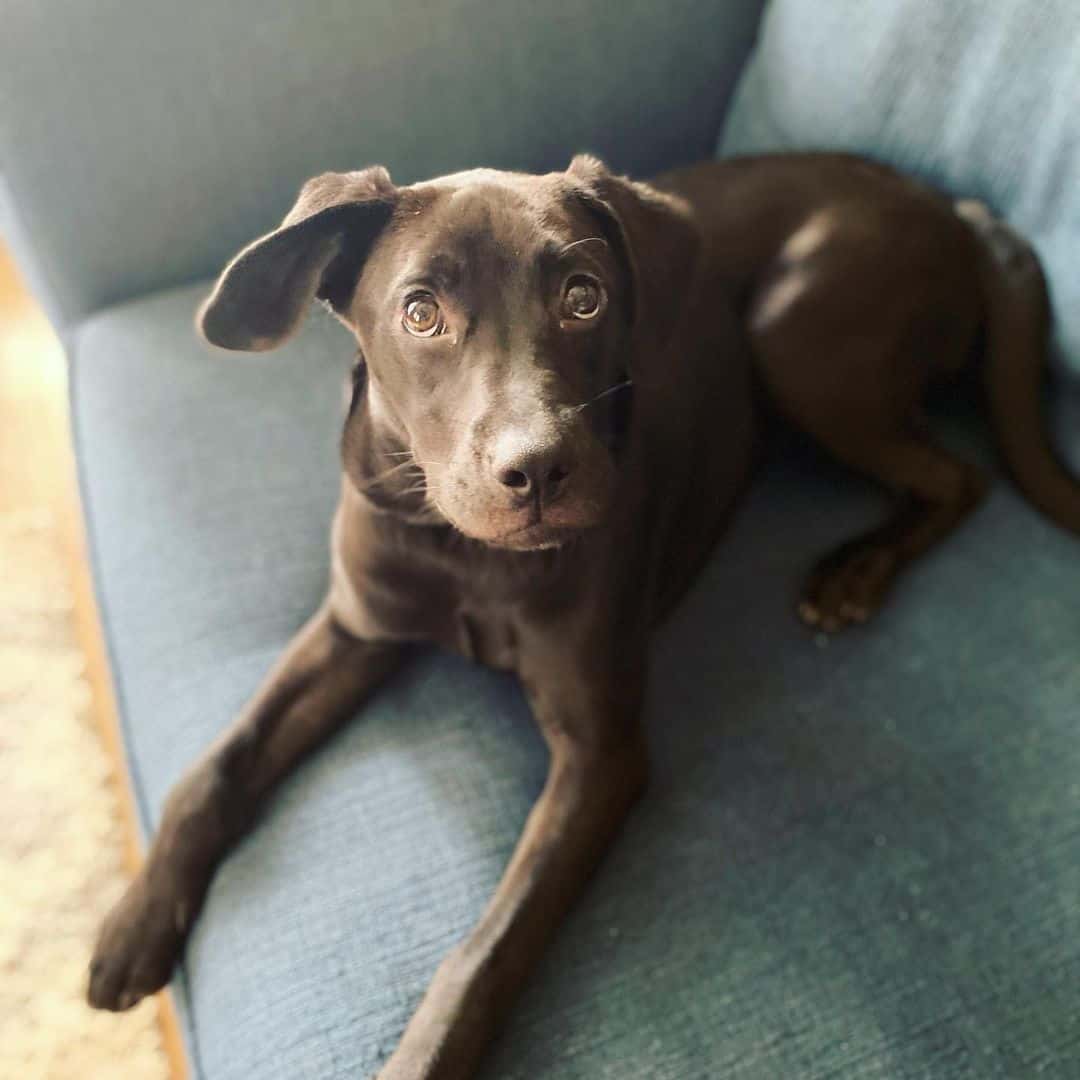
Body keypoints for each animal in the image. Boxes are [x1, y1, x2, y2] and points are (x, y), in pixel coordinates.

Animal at [86, 154, 1080, 1080]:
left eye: (583, 296)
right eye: (420, 313)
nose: (537, 471)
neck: (463, 555)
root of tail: (947, 204)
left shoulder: (600, 755)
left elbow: (486, 950)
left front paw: (422, 1055)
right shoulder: (354, 628)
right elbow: (215, 766)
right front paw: (136, 919)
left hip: (796, 326)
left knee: (963, 477)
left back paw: (855, 573)